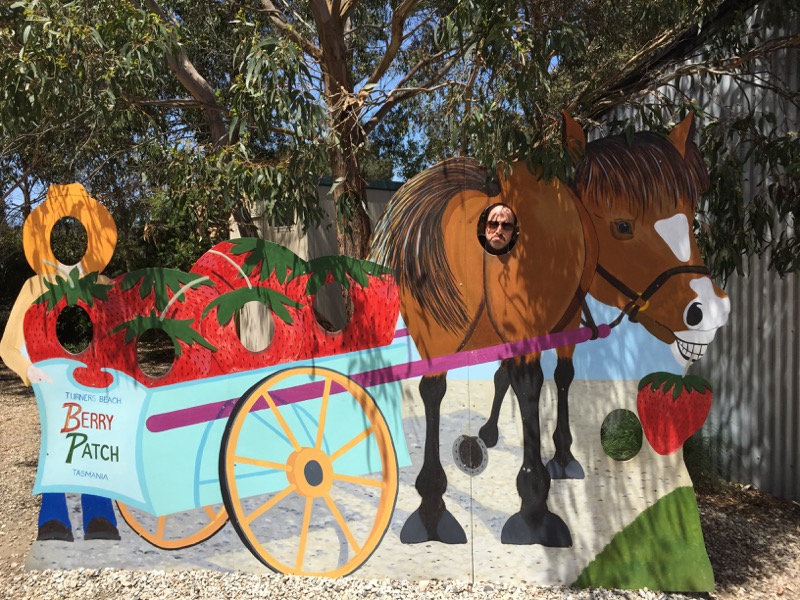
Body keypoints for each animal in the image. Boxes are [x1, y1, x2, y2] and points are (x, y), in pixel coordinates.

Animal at [368, 112, 732, 548]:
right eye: (622, 225)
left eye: (692, 221)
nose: (709, 310)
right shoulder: (476, 340)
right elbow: (513, 388)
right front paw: (530, 510)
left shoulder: (561, 328)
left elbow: (561, 376)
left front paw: (561, 457)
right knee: (443, 391)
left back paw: (486, 437)